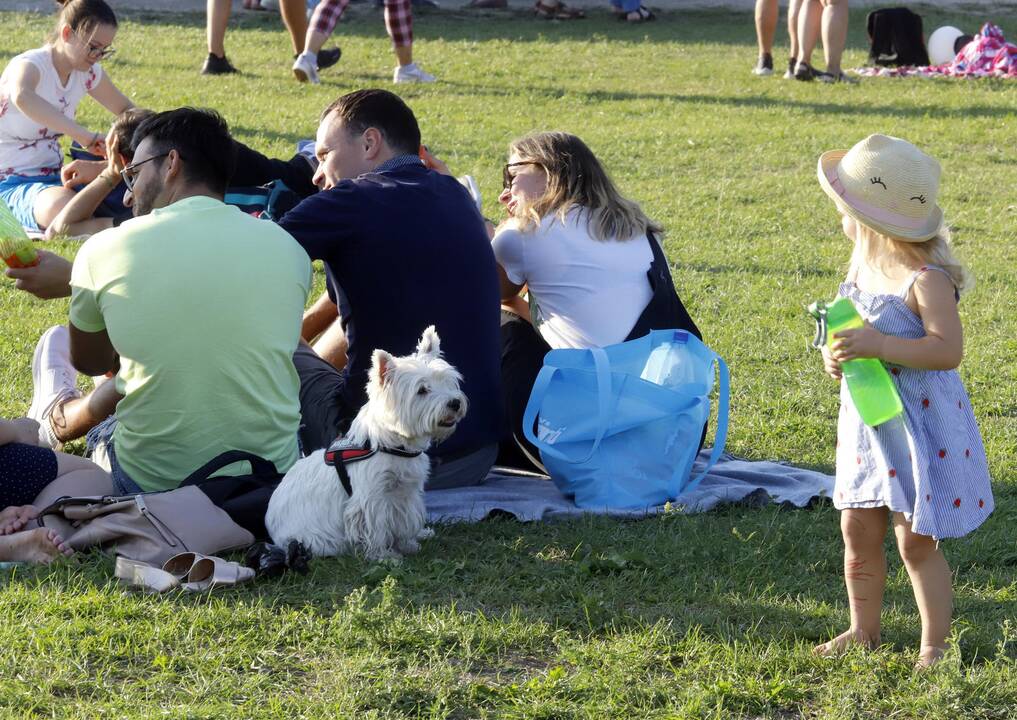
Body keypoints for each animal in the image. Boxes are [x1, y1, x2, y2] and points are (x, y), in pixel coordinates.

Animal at [264, 327, 465, 561]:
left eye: (447, 381)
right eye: (422, 390)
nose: (455, 403)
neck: (394, 444)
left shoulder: (407, 492)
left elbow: (405, 521)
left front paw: (409, 544)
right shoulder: (372, 498)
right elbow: (375, 528)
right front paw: (384, 556)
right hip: (317, 538)